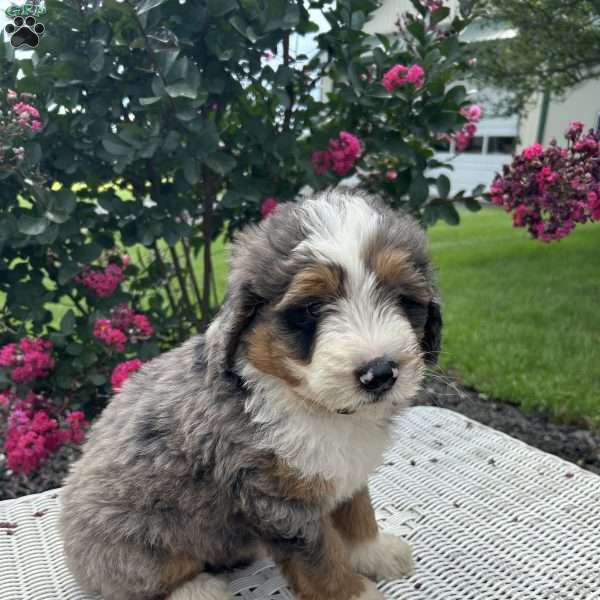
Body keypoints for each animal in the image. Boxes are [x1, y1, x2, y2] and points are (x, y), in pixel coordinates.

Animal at [59, 189, 440, 600]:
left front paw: (374, 551)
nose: (380, 373)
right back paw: (198, 589)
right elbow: (321, 558)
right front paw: (352, 592)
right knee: (146, 579)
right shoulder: (278, 502)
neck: (311, 404)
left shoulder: (344, 469)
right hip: (135, 541)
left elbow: (358, 511)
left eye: (402, 298)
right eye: (312, 307)